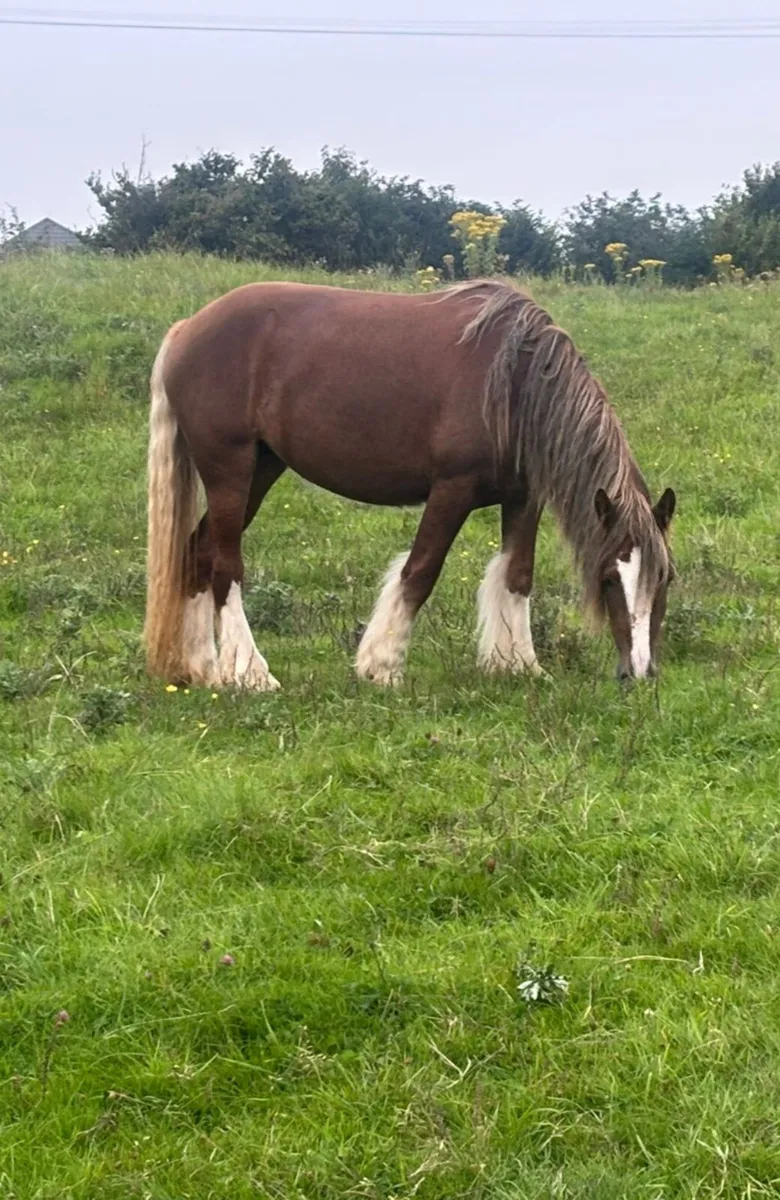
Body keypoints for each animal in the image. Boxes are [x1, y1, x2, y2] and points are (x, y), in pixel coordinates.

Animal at [143, 278, 676, 692]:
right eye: (608, 579)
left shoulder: (524, 498)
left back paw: (203, 668)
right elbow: (420, 571)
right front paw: (381, 667)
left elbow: (518, 575)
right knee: (225, 567)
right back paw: (251, 674)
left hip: (261, 469)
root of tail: (187, 329)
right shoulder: (452, 490)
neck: (513, 383)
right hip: (229, 470)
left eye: (665, 579)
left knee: (198, 554)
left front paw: (520, 665)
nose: (640, 673)